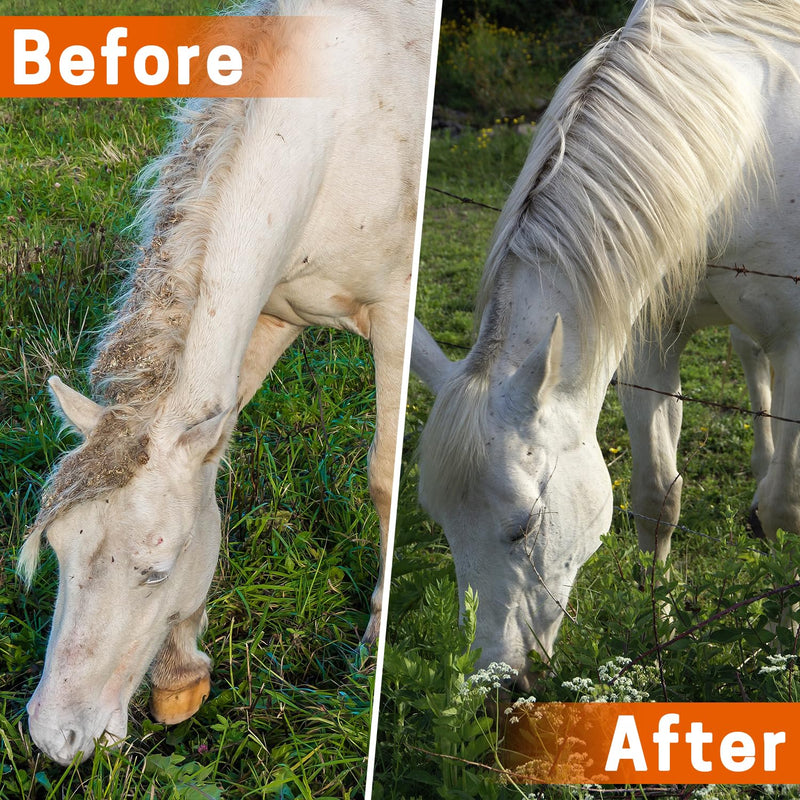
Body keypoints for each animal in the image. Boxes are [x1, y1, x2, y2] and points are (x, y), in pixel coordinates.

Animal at [17, 0, 435, 765]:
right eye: (57, 550)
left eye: (155, 570)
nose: (57, 739)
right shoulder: (266, 315)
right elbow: (210, 473)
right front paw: (181, 674)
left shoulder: (396, 314)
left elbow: (386, 479)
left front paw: (372, 645)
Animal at [411, 0, 800, 691]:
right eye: (444, 528)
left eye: (524, 527)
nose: (494, 688)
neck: (746, 149)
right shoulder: (649, 337)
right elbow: (656, 499)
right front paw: (660, 636)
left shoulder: (797, 338)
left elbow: (787, 508)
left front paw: (781, 655)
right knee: (748, 358)